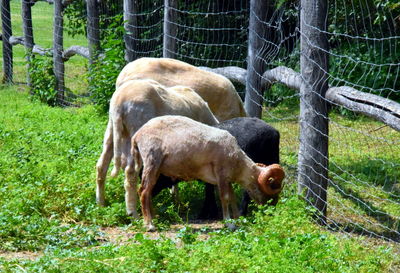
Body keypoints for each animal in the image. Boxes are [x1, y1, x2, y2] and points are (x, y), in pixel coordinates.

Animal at [96, 79, 219, 217]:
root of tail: (119, 103)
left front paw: (176, 200)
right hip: (136, 129)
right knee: (131, 172)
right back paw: (134, 214)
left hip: (111, 128)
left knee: (101, 165)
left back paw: (101, 204)